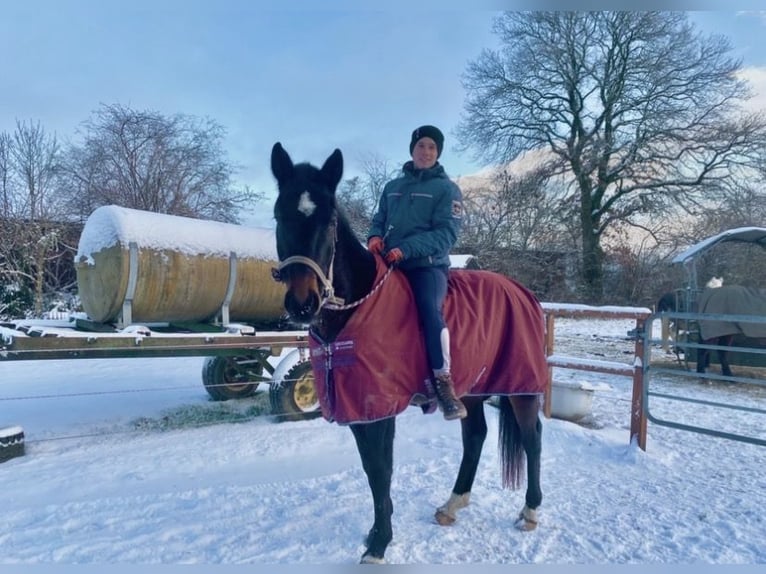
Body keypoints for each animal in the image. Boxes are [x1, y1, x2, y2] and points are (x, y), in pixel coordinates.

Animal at [269, 142, 548, 564]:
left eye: (329, 221)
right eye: (279, 215)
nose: (303, 304)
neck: (355, 307)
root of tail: (522, 290)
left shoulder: (379, 407)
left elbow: (380, 471)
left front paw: (379, 543)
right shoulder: (358, 406)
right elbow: (371, 469)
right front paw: (374, 534)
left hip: (523, 386)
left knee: (532, 437)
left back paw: (530, 510)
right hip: (471, 388)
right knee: (476, 436)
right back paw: (452, 504)